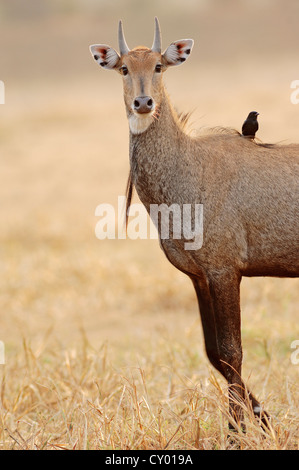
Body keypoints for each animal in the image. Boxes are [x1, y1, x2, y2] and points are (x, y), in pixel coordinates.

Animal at [91, 17, 299, 430]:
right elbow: (213, 352)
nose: (143, 103)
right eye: (124, 68)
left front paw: (237, 432)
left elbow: (232, 351)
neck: (188, 168)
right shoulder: (198, 276)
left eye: (158, 66)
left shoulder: (224, 270)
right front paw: (264, 421)